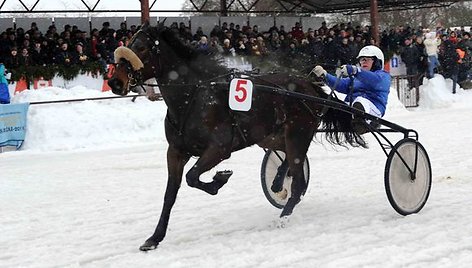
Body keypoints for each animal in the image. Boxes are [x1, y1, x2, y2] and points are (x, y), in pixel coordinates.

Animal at [108, 23, 366, 251]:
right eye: (127, 44)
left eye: (142, 47)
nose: (114, 81)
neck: (194, 98)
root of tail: (310, 86)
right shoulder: (175, 152)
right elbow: (170, 194)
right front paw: (154, 238)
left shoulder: (219, 149)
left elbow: (192, 177)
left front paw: (219, 179)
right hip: (272, 136)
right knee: (290, 164)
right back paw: (277, 183)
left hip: (297, 134)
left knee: (298, 178)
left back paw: (283, 217)